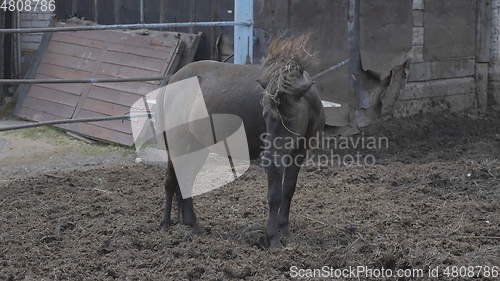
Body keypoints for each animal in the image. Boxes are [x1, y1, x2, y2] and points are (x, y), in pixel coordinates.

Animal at [158, 35, 326, 247]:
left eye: (288, 116)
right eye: (265, 114)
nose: (268, 159)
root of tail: (172, 81)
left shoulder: (299, 152)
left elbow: (288, 190)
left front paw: (285, 231)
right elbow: (275, 195)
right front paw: (273, 237)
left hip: (197, 146)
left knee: (185, 179)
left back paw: (192, 225)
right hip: (178, 144)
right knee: (171, 181)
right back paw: (166, 225)